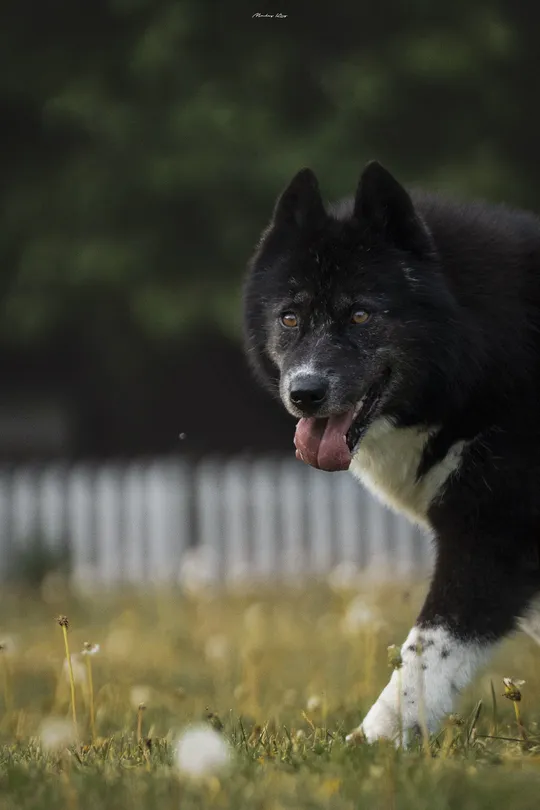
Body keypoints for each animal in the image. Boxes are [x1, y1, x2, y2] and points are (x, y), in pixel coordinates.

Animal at [244, 161, 540, 740]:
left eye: (361, 315)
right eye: (290, 317)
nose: (305, 392)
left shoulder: (492, 535)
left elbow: (424, 659)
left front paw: (369, 746)